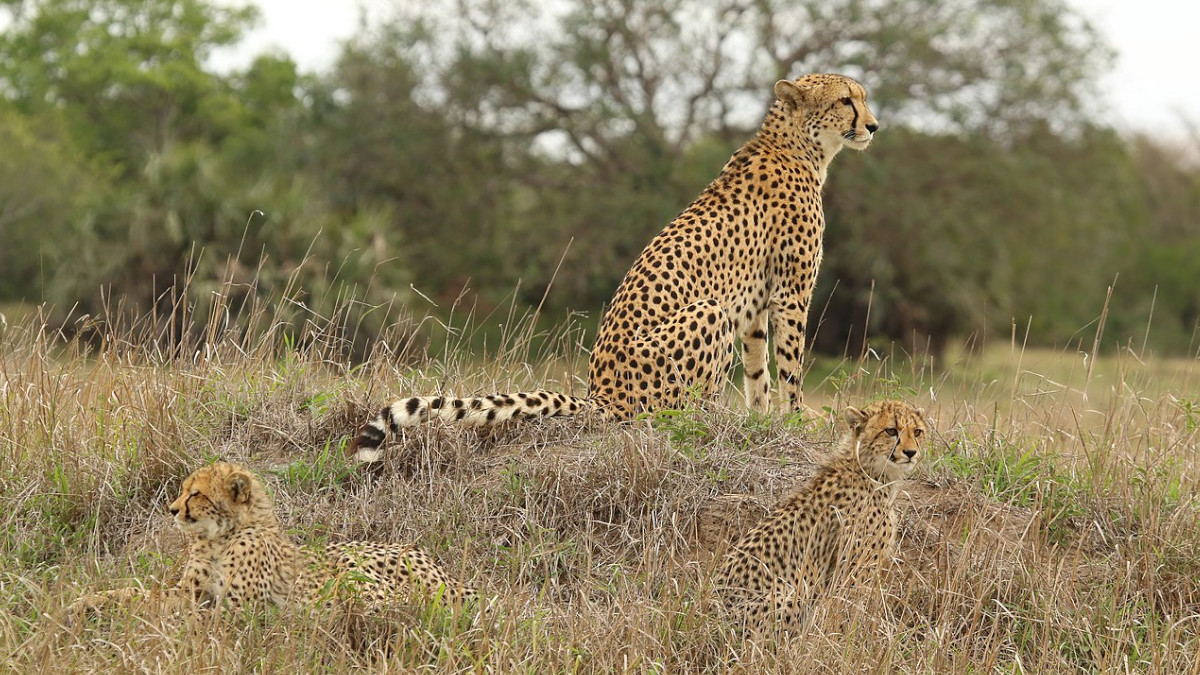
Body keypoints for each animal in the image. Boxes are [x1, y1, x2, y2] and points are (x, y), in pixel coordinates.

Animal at [68, 461, 476, 620]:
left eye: (195, 494)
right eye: (183, 490)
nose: (171, 510)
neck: (220, 536)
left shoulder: (237, 607)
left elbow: (184, 616)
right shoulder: (189, 593)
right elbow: (136, 594)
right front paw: (85, 602)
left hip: (351, 568)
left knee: (397, 603)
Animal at [352, 74, 879, 464]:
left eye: (864, 97)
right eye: (846, 100)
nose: (874, 126)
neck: (798, 145)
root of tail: (601, 394)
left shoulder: (753, 308)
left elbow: (758, 373)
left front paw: (764, 421)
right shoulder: (789, 295)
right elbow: (790, 366)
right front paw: (796, 420)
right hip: (707, 313)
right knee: (669, 414)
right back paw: (709, 424)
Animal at [714, 399, 927, 633]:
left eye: (917, 431)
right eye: (890, 431)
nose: (911, 452)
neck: (868, 469)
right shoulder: (852, 571)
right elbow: (849, 611)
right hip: (793, 594)